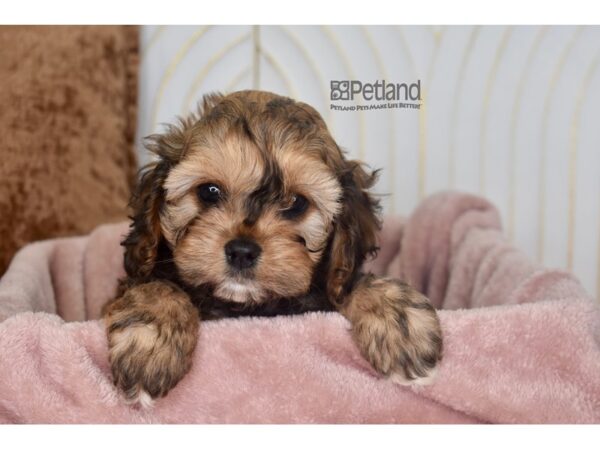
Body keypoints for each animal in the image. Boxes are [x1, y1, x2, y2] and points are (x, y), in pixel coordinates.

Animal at [102, 89, 440, 406]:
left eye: (297, 203)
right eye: (209, 191)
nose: (241, 251)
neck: (245, 306)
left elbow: (349, 286)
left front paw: (399, 319)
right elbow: (155, 286)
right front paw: (151, 343)